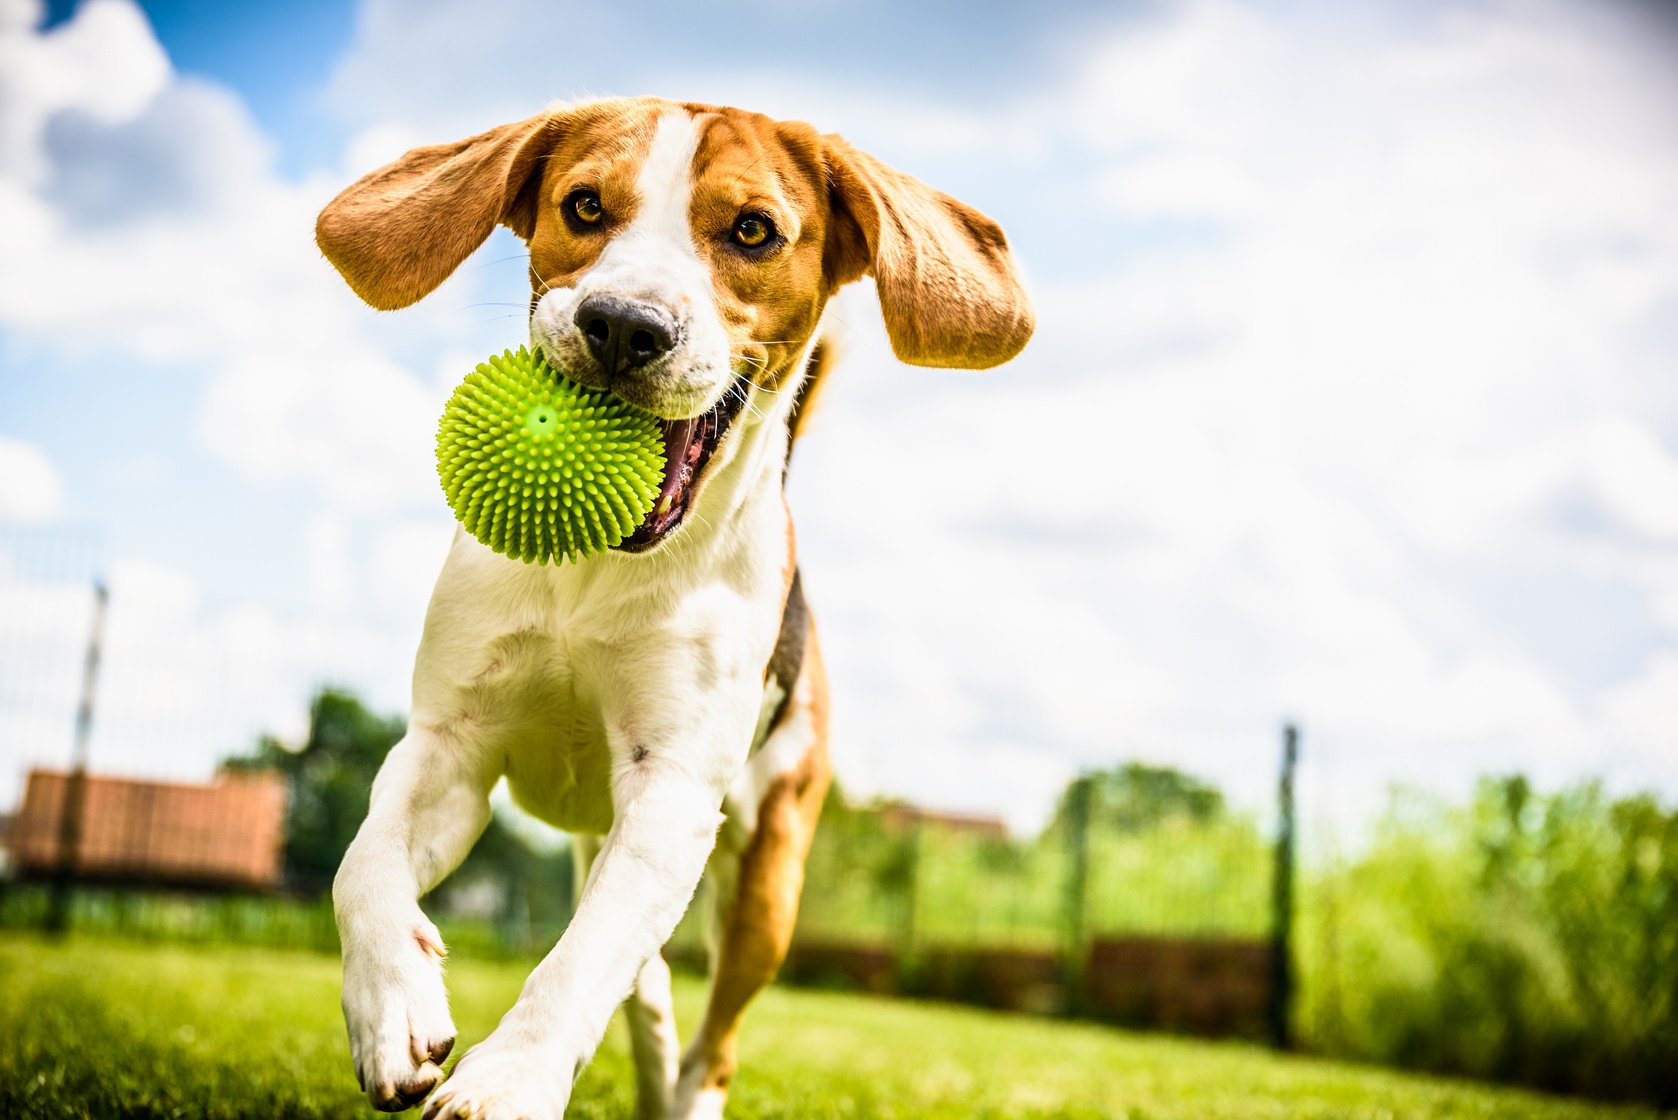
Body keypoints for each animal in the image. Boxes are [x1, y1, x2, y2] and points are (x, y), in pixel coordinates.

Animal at [312, 98, 1020, 1120]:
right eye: (584, 205)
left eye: (754, 230)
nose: (622, 325)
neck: (596, 574)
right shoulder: (449, 743)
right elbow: (360, 866)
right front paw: (391, 1007)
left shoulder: (673, 792)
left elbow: (577, 969)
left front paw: (509, 1081)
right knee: (639, 975)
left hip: (768, 883)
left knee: (707, 1034)